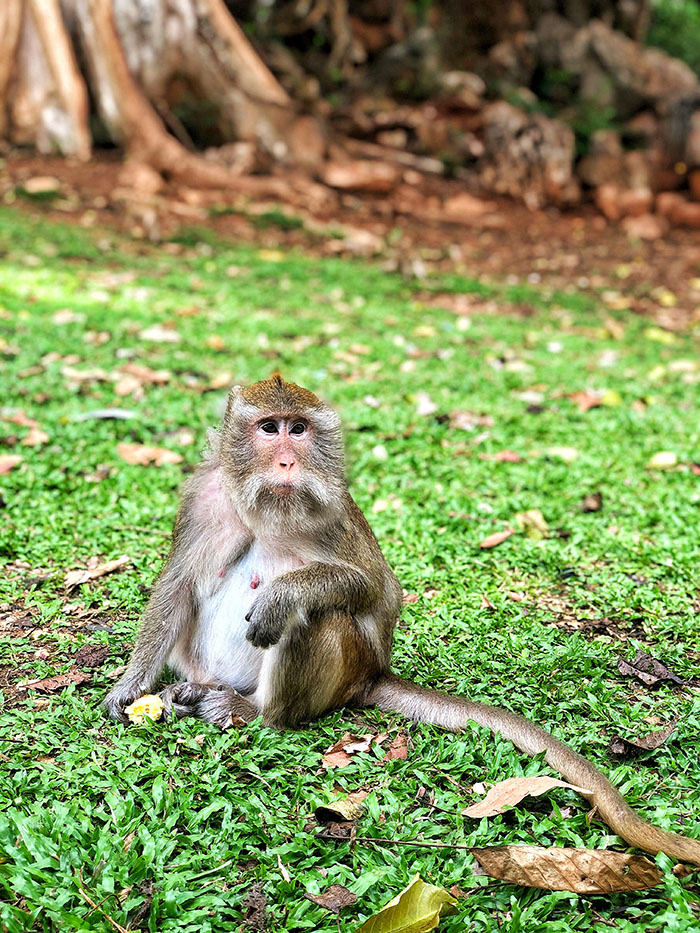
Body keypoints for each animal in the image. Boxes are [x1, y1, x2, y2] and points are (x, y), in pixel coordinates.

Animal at [105, 374, 700, 868]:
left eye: (299, 430)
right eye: (268, 429)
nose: (286, 463)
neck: (264, 511)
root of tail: (370, 677)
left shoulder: (336, 511)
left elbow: (375, 591)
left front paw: (284, 595)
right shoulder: (201, 497)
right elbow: (178, 586)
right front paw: (129, 688)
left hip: (342, 673)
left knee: (319, 620)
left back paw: (258, 712)